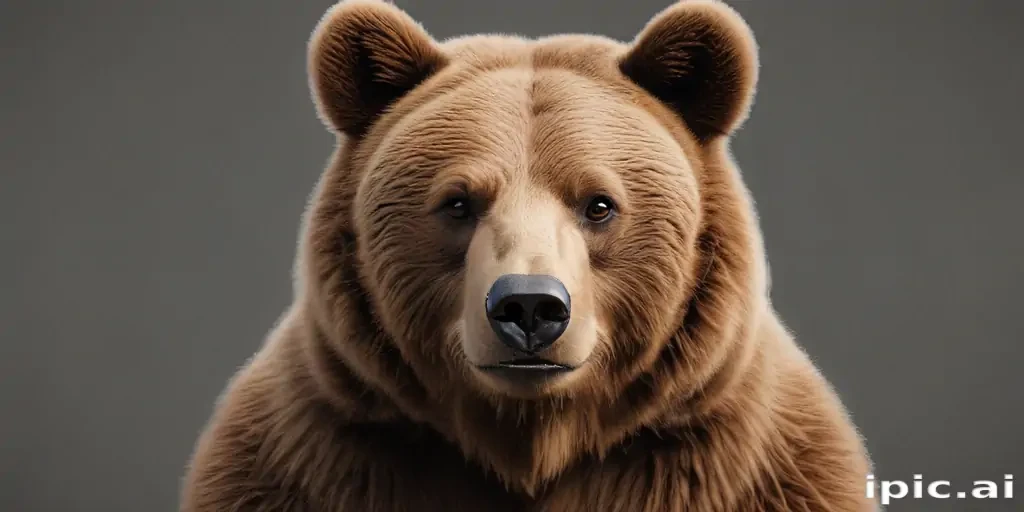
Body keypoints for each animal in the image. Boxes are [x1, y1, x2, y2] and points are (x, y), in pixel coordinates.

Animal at [180, 0, 877, 510]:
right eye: (458, 202)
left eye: (599, 203)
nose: (529, 307)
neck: (534, 443)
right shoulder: (312, 461)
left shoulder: (750, 470)